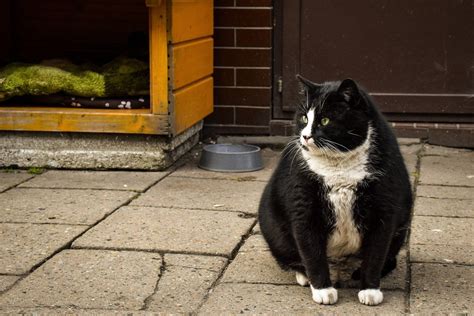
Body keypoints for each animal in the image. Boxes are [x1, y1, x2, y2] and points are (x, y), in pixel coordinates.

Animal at [260, 76, 412, 306]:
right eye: (303, 117)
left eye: (325, 120)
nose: (305, 136)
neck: (339, 165)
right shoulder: (303, 206)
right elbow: (311, 252)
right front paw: (323, 290)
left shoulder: (384, 209)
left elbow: (376, 253)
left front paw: (370, 290)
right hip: (273, 228)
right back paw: (305, 276)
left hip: (402, 226)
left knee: (389, 258)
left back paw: (358, 274)